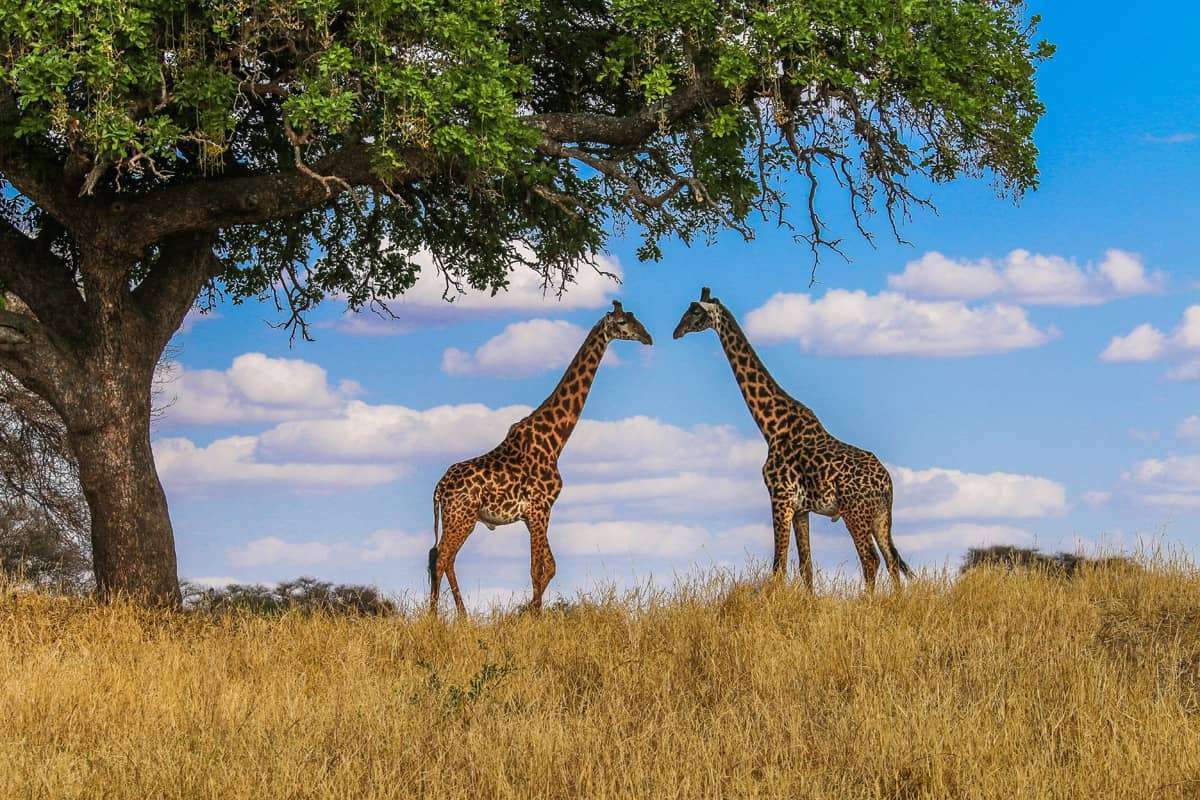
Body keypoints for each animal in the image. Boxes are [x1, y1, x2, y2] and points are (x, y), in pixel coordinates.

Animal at [429, 299, 657, 614]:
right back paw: (437, 618)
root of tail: (439, 488)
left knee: (441, 558)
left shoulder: (535, 514)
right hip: (461, 516)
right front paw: (533, 617)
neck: (555, 441)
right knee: (441, 558)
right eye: (623, 322)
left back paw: (460, 617)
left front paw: (527, 613)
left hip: (461, 518)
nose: (647, 337)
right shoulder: (540, 508)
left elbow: (549, 567)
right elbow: (537, 569)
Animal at [676, 286, 907, 587]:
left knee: (871, 559)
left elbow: (778, 567)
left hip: (854, 512)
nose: (676, 331)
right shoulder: (801, 509)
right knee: (891, 560)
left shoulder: (780, 497)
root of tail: (887, 483)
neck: (771, 427)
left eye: (695, 311)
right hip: (880, 516)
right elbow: (805, 566)